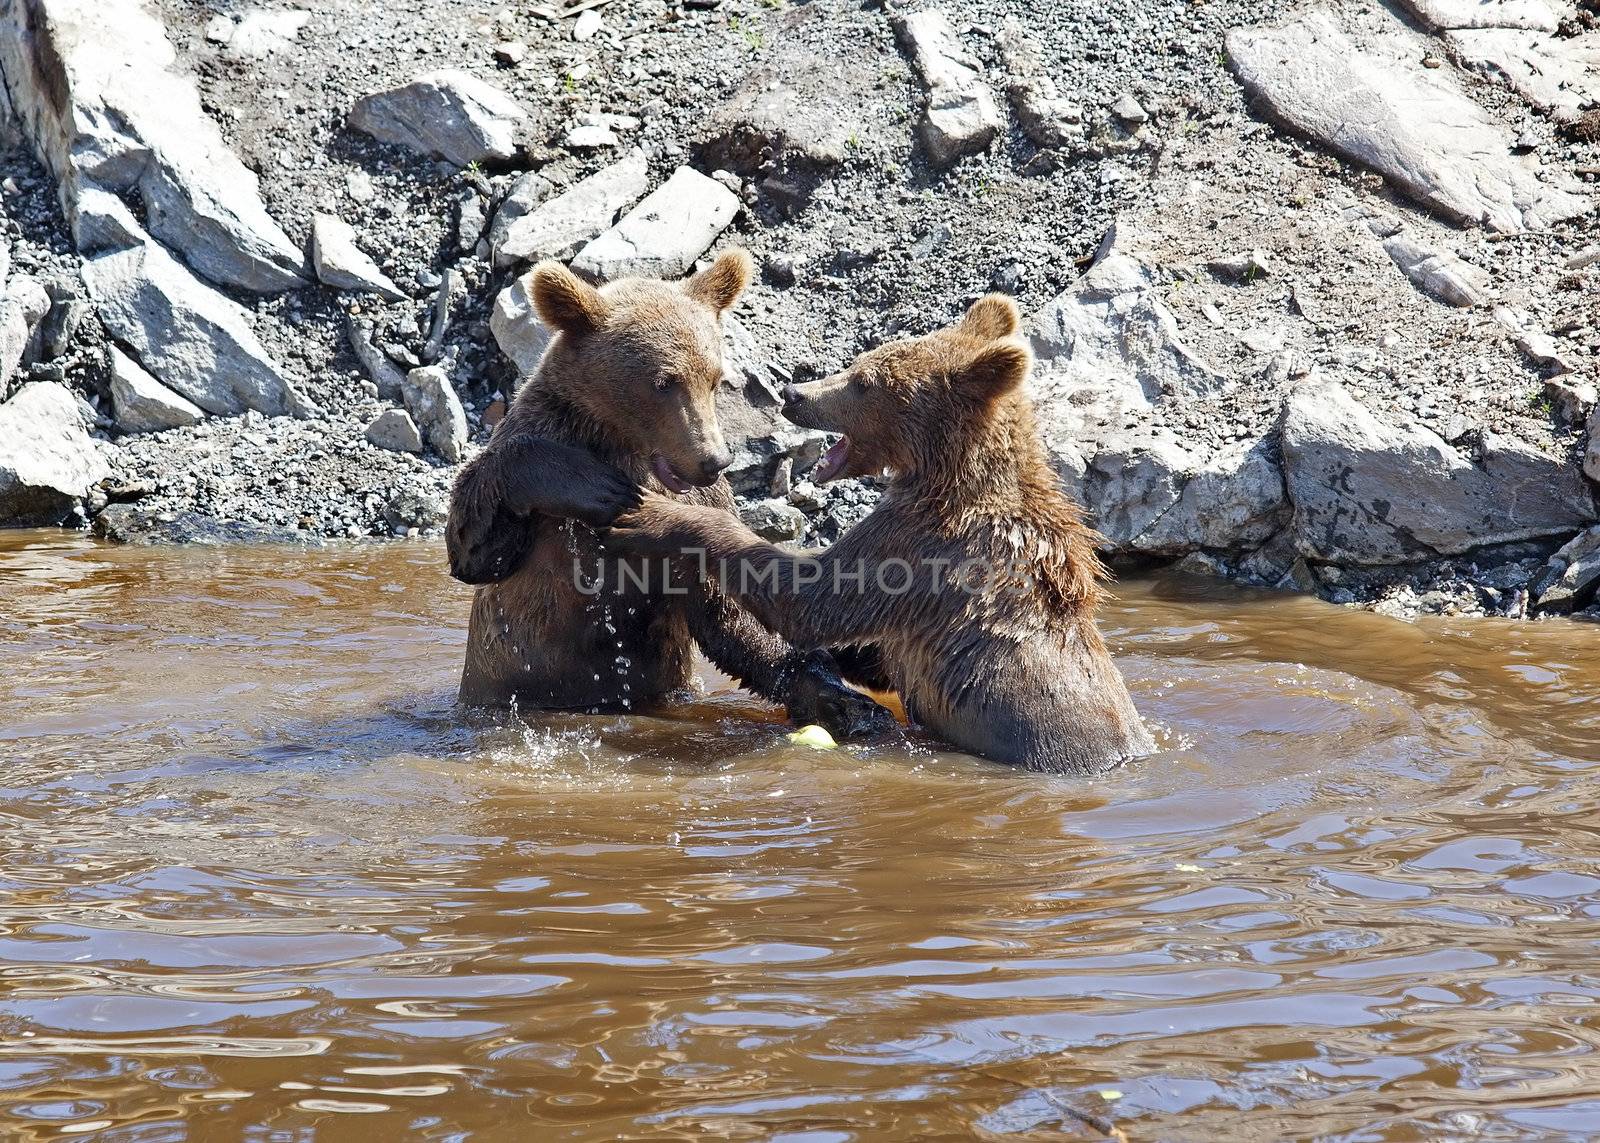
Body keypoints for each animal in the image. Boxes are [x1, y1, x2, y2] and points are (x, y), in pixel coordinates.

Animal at [444, 246, 896, 739]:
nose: (714, 459)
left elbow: (728, 611)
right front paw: (594, 487)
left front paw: (846, 701)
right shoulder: (545, 436)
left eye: (715, 378)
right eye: (664, 381)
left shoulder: (701, 504)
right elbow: (478, 550)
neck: (623, 444)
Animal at [604, 294, 1158, 774]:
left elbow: (811, 600)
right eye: (858, 362)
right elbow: (868, 649)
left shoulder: (917, 545)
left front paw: (652, 512)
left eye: (865, 381)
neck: (948, 472)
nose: (794, 394)